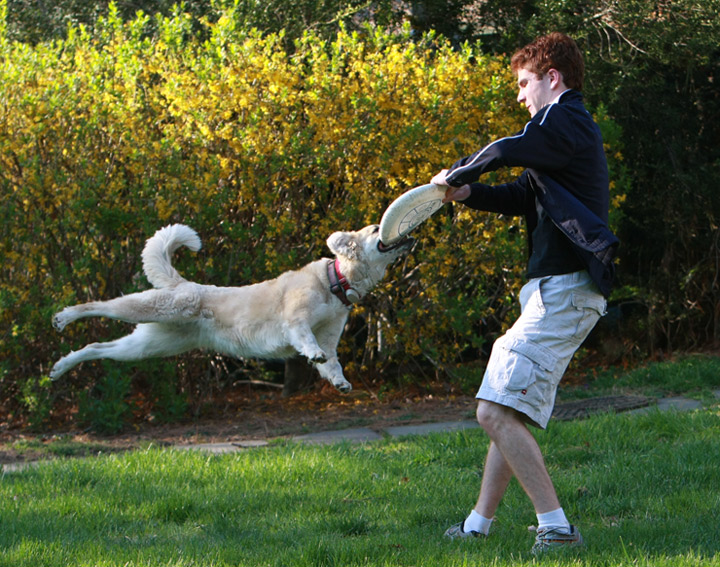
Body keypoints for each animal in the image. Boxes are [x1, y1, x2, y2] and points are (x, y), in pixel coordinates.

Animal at [49, 224, 410, 392]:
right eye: (375, 229)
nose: (408, 234)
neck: (333, 282)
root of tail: (181, 282)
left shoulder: (330, 337)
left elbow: (332, 363)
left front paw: (339, 382)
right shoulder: (295, 321)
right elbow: (307, 340)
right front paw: (314, 355)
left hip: (150, 344)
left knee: (97, 347)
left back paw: (60, 367)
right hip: (154, 308)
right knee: (100, 305)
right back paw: (64, 317)